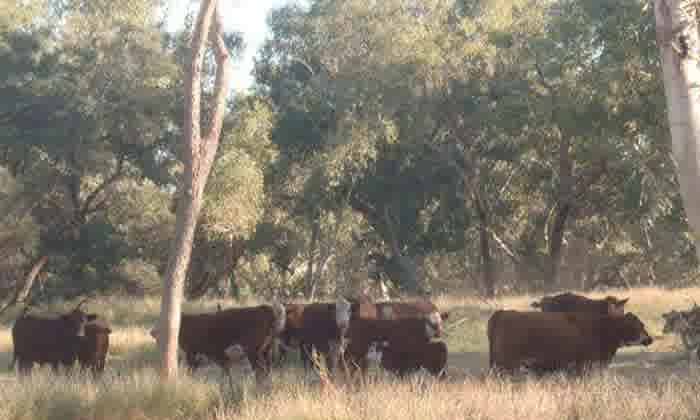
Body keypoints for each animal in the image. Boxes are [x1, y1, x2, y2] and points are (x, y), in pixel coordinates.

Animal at [150, 303, 286, 381]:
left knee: (260, 370)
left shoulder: (192, 352)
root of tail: (264, 309)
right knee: (266, 369)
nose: (152, 332)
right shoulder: (214, 354)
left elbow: (192, 369)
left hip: (253, 352)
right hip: (265, 351)